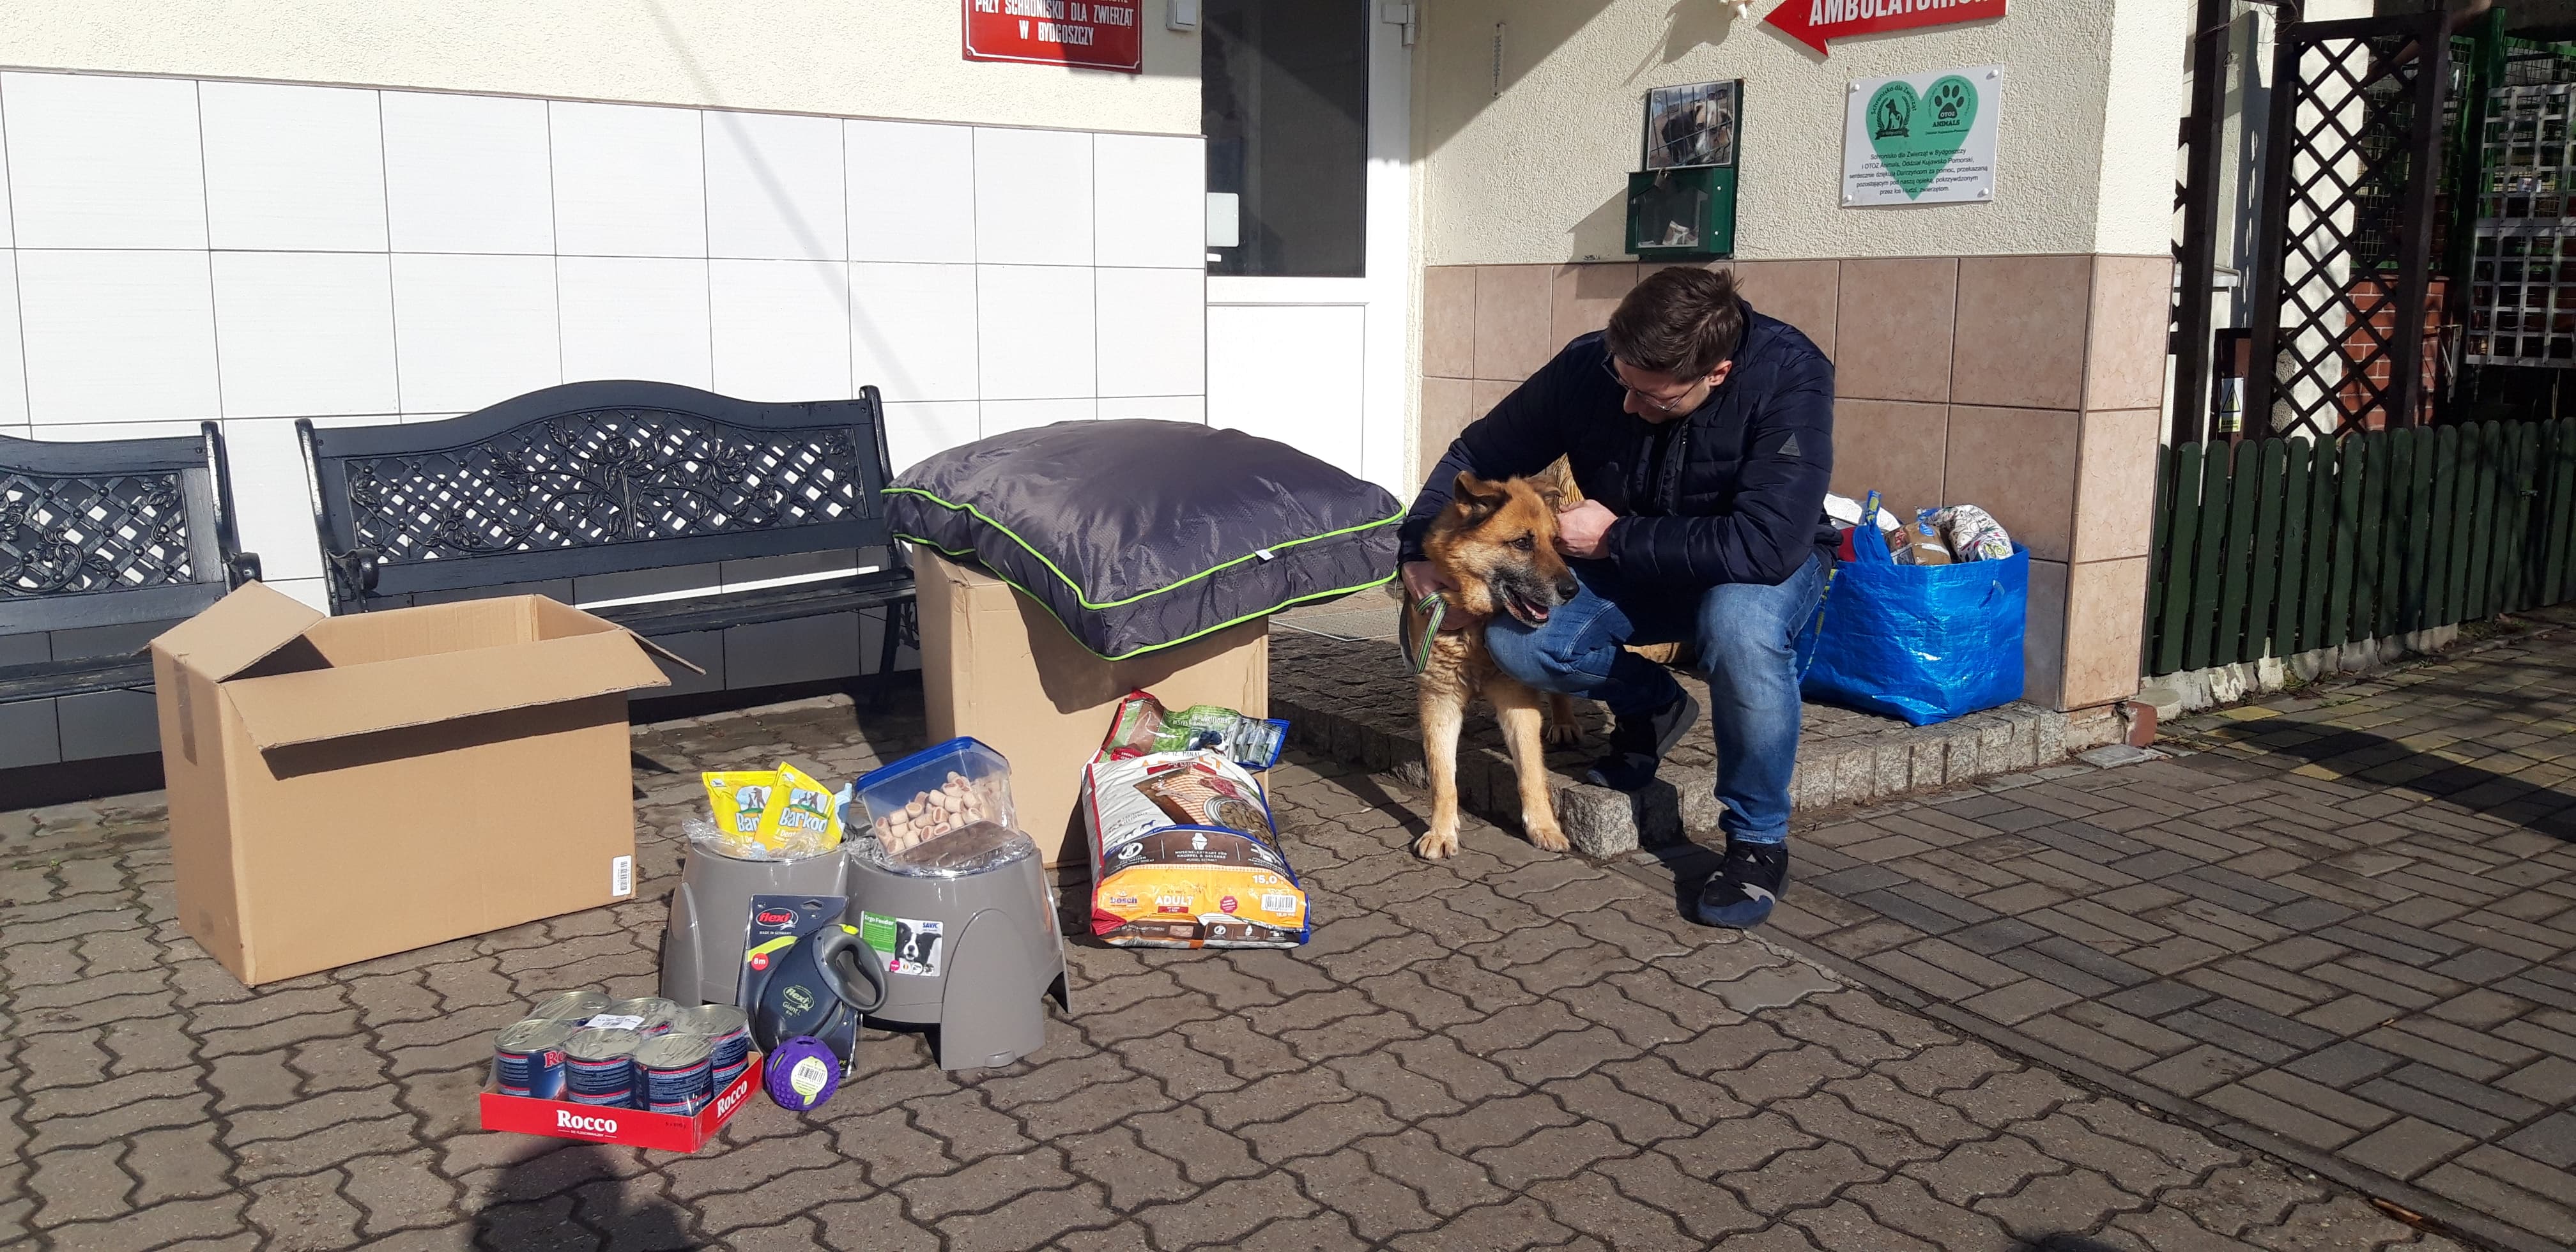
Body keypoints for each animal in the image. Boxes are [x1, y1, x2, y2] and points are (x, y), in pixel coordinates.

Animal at [1404, 466, 1586, 859]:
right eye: (1522, 543)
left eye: (1554, 542)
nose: (1573, 591)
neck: (1475, 625)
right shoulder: (1439, 702)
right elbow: (1443, 777)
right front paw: (1442, 831)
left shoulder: (1517, 702)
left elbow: (1532, 772)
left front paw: (1544, 826)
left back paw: (1564, 723)